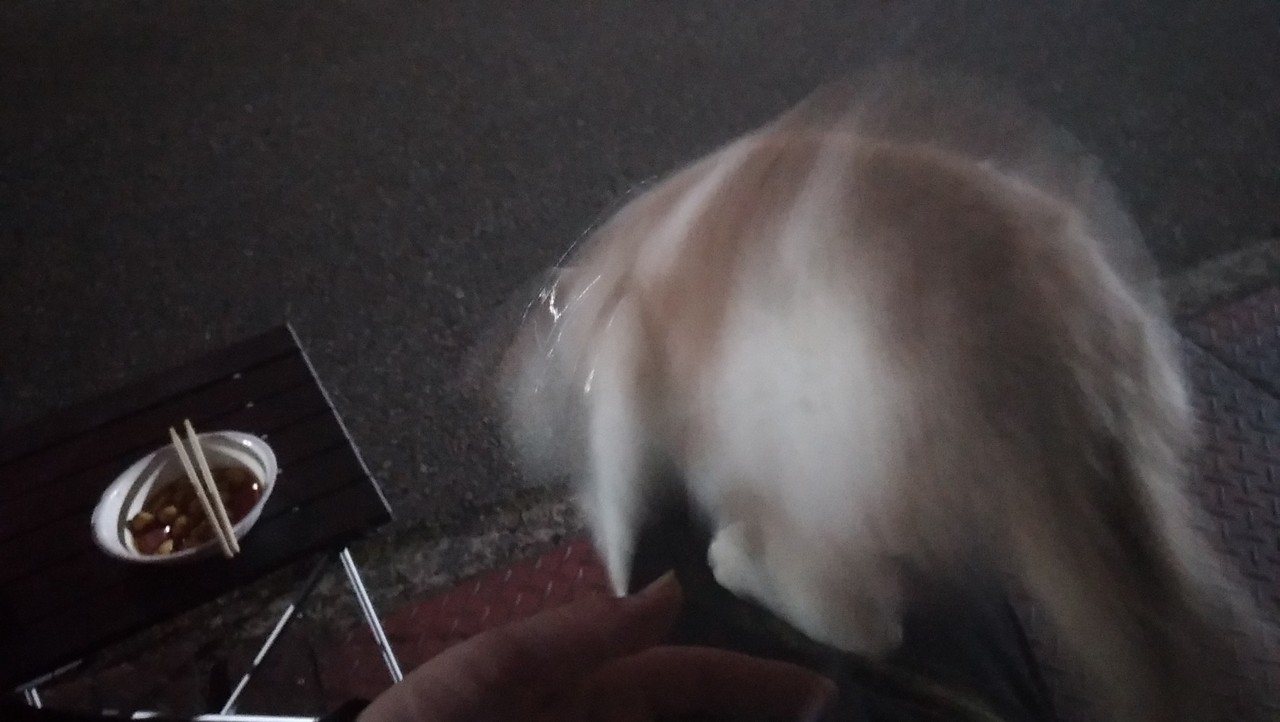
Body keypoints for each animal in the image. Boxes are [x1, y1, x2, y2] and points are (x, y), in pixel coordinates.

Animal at [496, 68, 1272, 721]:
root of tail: (1071, 392)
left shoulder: (631, 364)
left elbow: (620, 469)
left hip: (828, 480)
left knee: (859, 618)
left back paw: (741, 560)